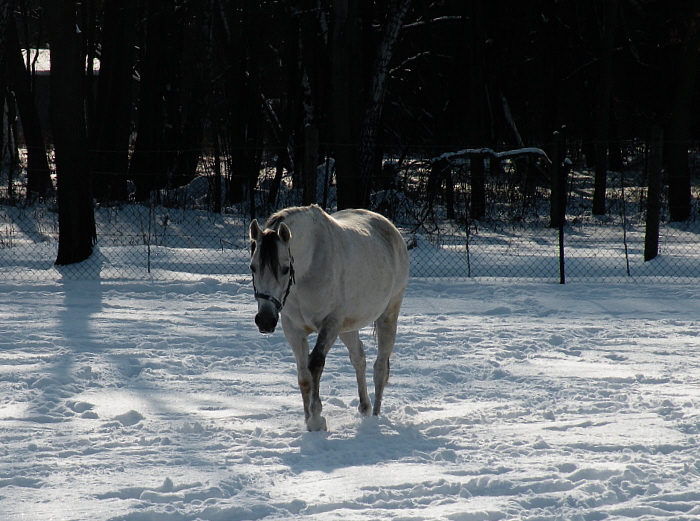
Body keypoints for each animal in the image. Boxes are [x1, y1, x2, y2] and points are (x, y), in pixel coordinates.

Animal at [249, 204, 410, 430]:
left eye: (285, 269)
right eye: (253, 267)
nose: (264, 320)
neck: (309, 266)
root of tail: (391, 229)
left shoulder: (331, 323)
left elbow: (315, 364)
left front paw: (317, 419)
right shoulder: (292, 329)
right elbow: (303, 376)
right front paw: (308, 420)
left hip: (388, 315)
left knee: (380, 369)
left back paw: (376, 418)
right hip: (348, 327)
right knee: (359, 359)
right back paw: (365, 408)